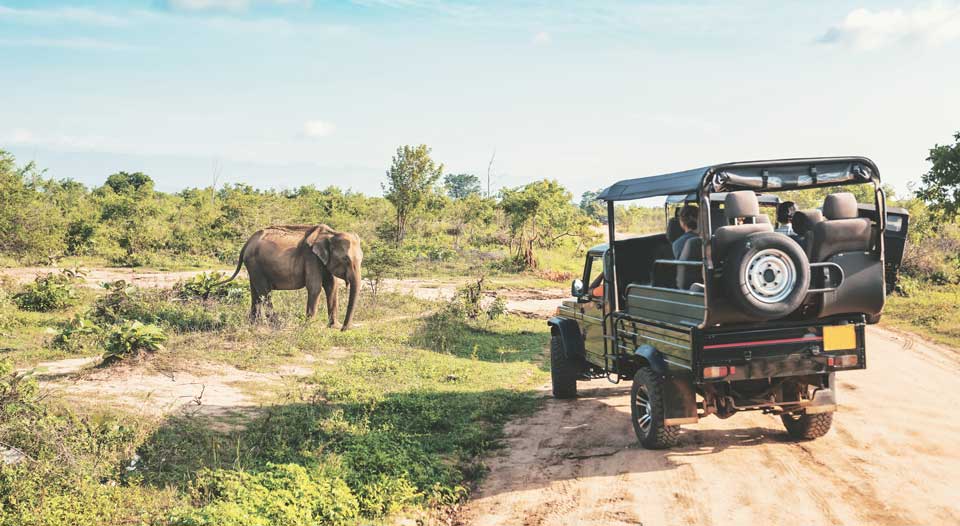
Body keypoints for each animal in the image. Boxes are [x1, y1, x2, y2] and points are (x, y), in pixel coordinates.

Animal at [218, 226, 364, 332]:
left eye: (362, 259)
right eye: (345, 259)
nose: (344, 329)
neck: (331, 234)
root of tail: (247, 243)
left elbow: (332, 287)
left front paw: (333, 326)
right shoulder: (311, 257)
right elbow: (315, 287)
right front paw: (310, 326)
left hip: (253, 266)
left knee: (255, 292)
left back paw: (254, 324)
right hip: (255, 264)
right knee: (265, 292)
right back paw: (275, 324)